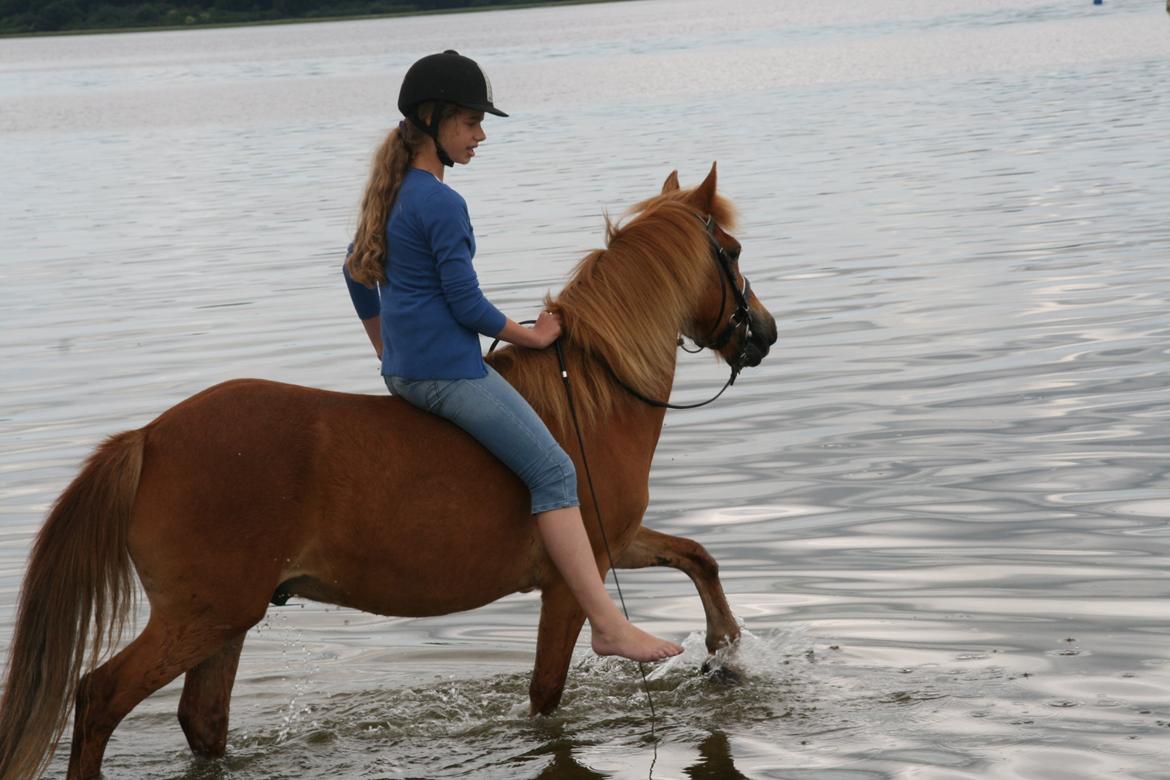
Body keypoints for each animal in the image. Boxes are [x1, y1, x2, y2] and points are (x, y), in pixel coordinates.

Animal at [0, 161, 776, 776]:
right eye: (734, 251)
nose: (764, 332)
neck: (591, 396)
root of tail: (148, 439)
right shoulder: (569, 580)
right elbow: (546, 695)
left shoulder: (617, 542)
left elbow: (697, 555)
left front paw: (725, 651)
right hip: (200, 616)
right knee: (99, 697)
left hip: (222, 621)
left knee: (202, 720)